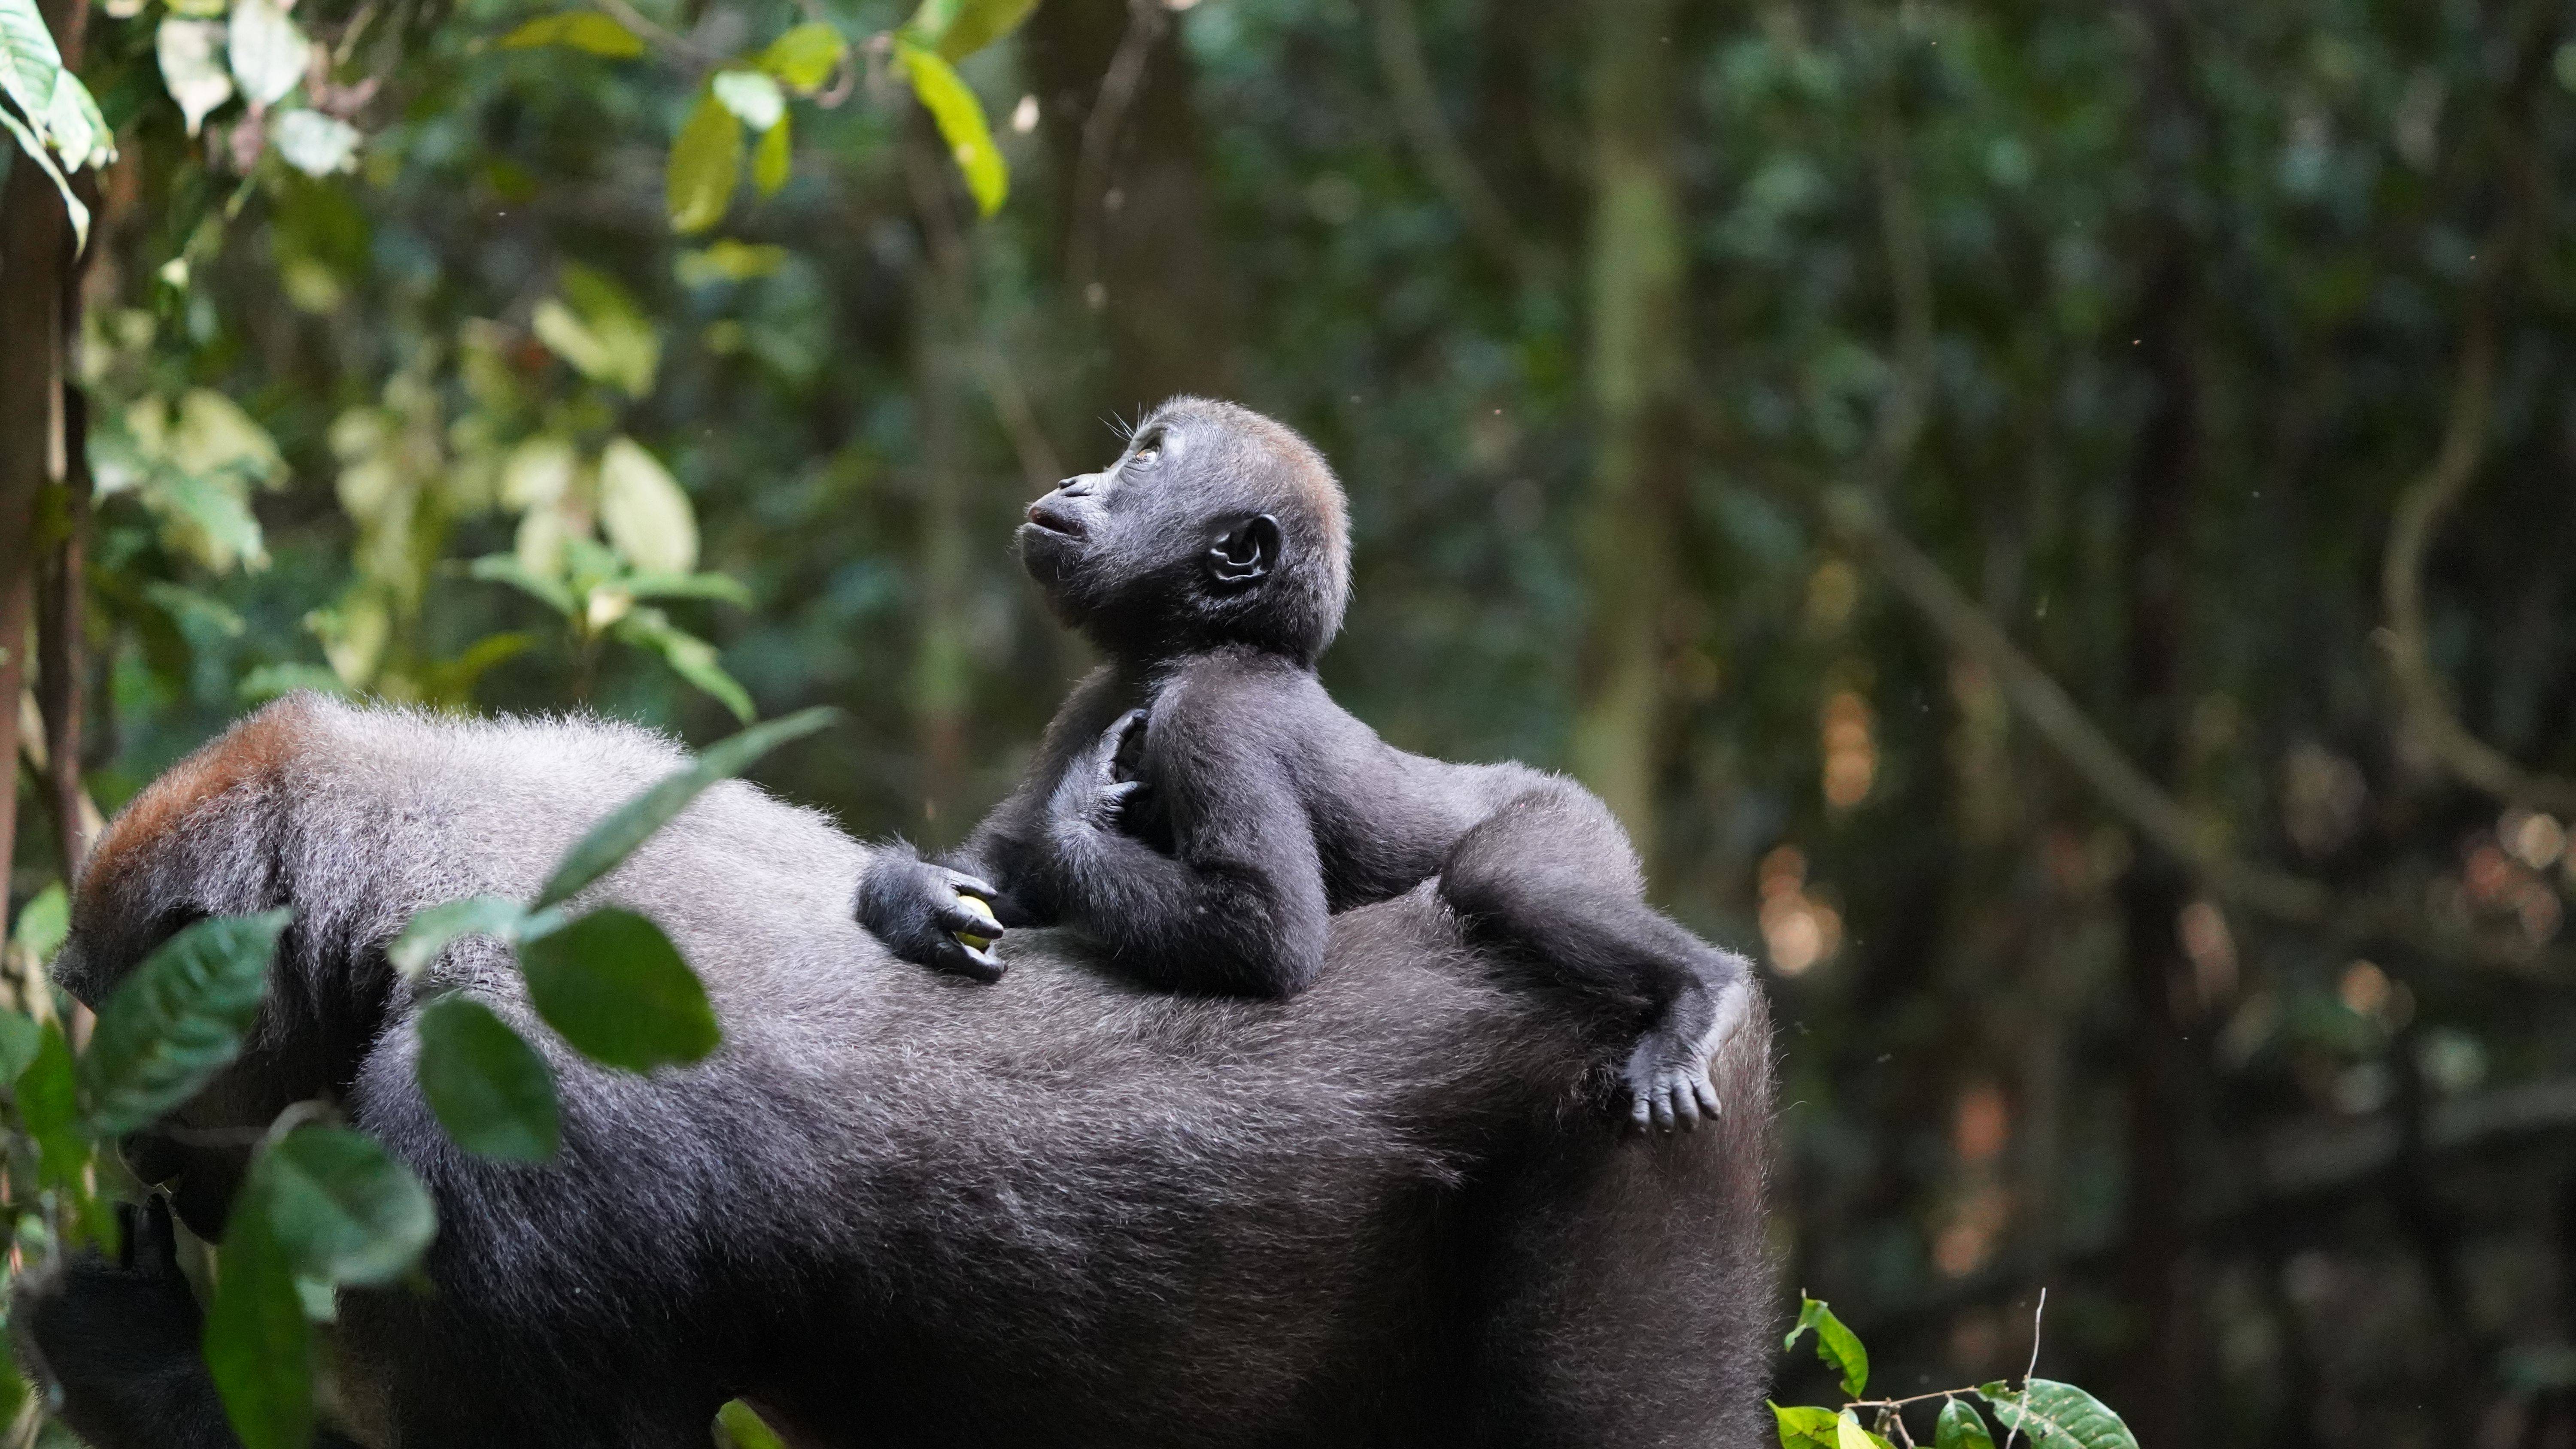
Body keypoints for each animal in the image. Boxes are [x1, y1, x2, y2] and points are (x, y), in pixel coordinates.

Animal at [856, 397, 1754, 1131]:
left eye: (1146, 459)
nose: (1073, 483)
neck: (1205, 641)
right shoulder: (1093, 696)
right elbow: (996, 871)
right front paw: (919, 897)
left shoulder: (1217, 717)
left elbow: (1267, 934)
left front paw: (1071, 818)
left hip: (1574, 817)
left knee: (1508, 878)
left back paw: (1705, 991)